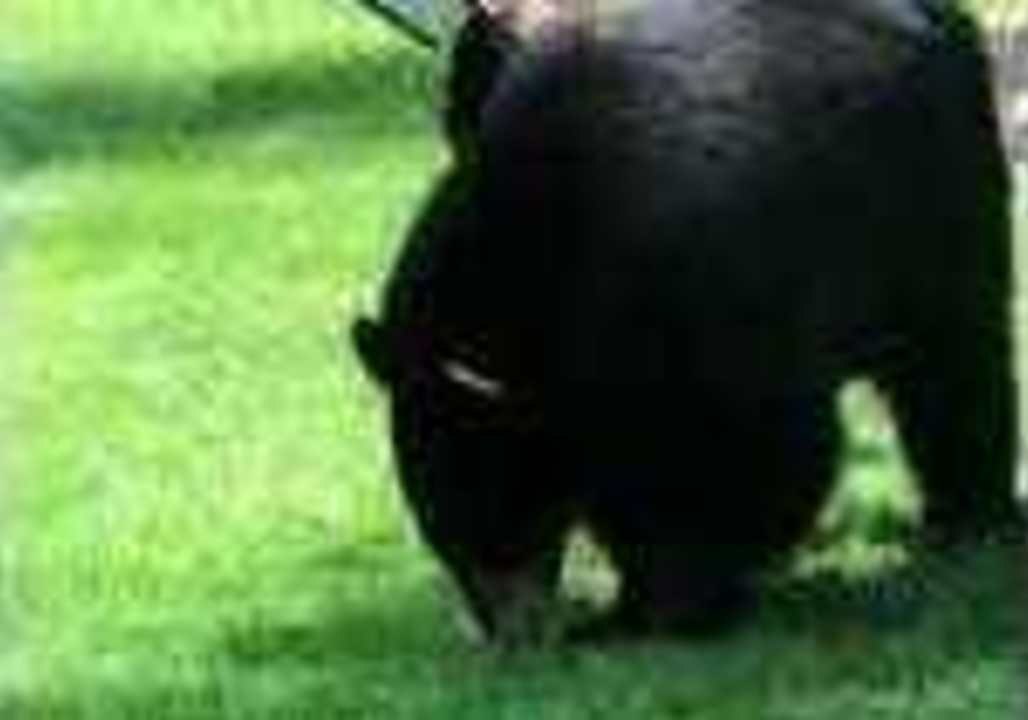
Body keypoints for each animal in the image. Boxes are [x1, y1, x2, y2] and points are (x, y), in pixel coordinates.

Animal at [352, 0, 1021, 644]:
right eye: (435, 522)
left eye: (480, 506)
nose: (506, 635)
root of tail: (948, 19)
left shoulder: (703, 293)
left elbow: (752, 450)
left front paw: (669, 600)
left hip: (932, 210)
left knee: (955, 363)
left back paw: (967, 523)